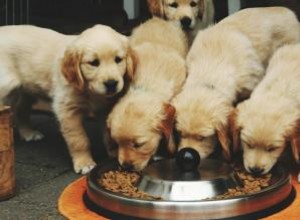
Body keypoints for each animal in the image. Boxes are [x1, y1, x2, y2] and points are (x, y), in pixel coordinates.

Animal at [0, 24, 134, 174]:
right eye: (93, 63)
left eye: (118, 59)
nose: (111, 84)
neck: (89, 89)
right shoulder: (67, 110)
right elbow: (79, 139)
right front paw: (84, 163)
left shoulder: (106, 108)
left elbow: (108, 133)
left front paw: (115, 153)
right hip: (6, 87)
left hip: (26, 90)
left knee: (21, 109)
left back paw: (29, 133)